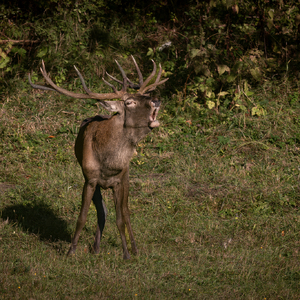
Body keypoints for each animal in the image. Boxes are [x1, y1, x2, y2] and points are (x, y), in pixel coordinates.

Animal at [28, 56, 168, 260]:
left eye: (145, 97)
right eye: (129, 102)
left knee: (126, 211)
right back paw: (96, 248)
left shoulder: (118, 180)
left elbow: (120, 218)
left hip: (126, 176)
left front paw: (126, 254)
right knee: (103, 211)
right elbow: (83, 216)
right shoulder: (90, 179)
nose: (156, 100)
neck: (108, 162)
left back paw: (134, 249)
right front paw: (71, 251)